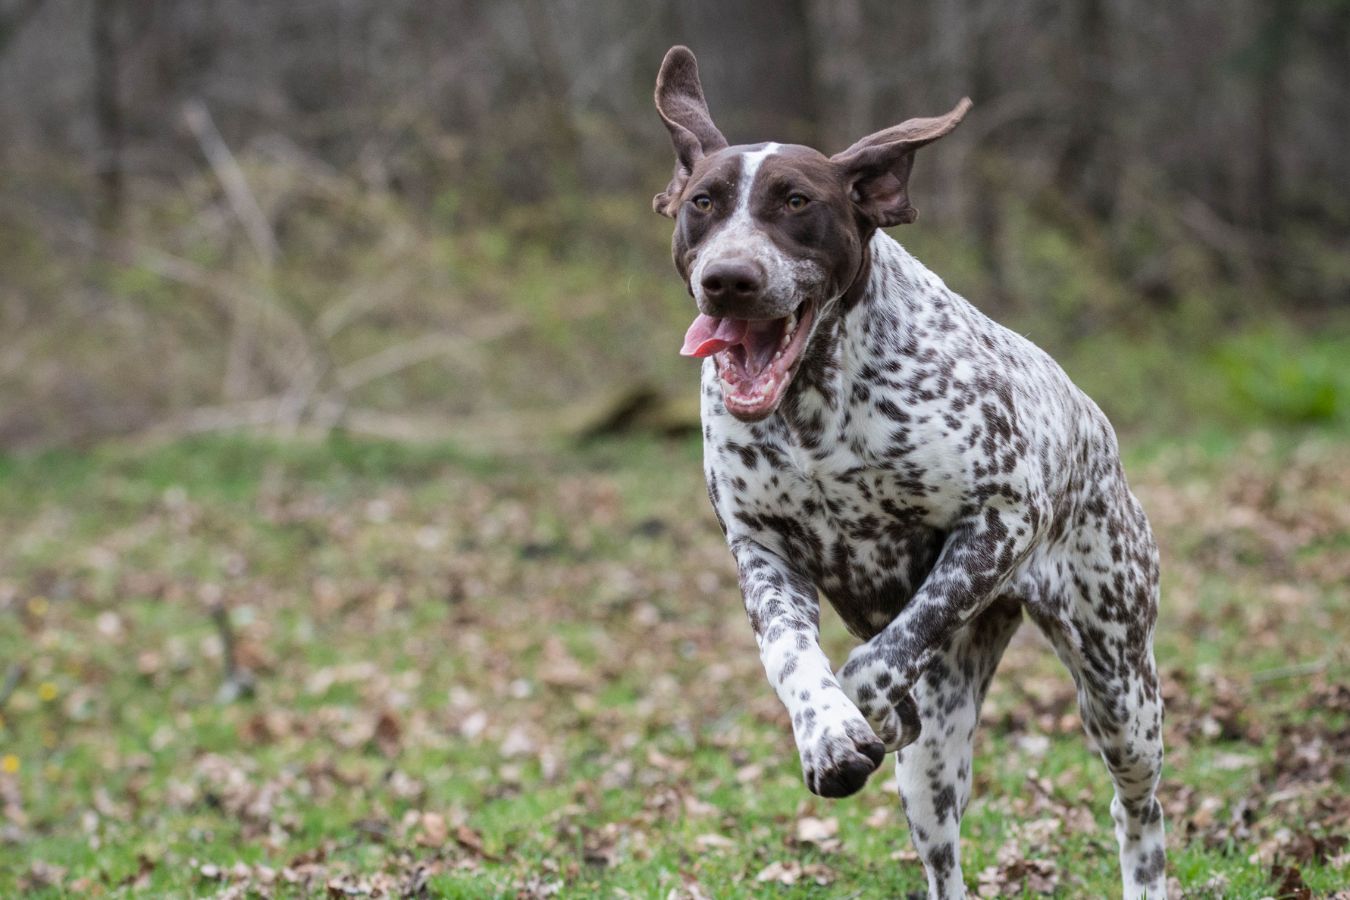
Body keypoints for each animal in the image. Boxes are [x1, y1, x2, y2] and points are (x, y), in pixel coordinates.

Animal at [650, 49, 1161, 900]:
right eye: (703, 203)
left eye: (797, 201)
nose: (729, 277)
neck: (815, 409)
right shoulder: (763, 553)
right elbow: (793, 657)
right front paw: (828, 732)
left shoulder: (999, 522)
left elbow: (873, 661)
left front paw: (867, 714)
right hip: (937, 769)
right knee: (944, 855)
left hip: (1119, 683)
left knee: (1136, 809)